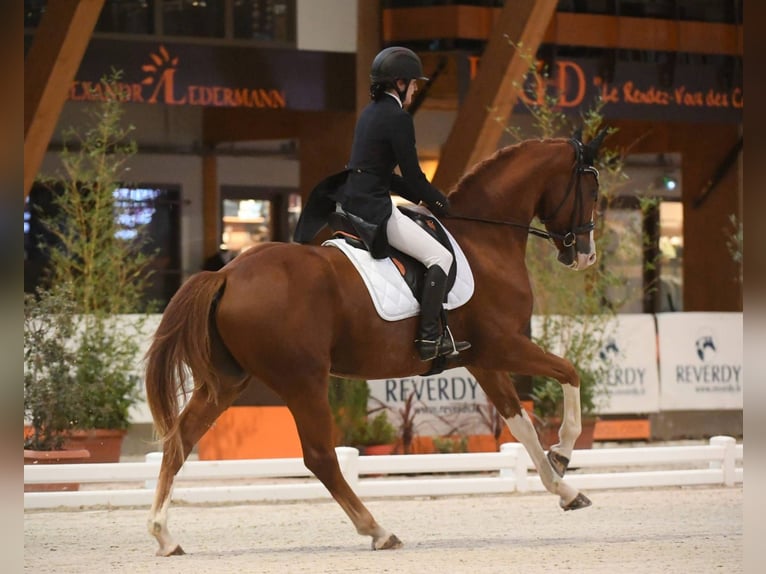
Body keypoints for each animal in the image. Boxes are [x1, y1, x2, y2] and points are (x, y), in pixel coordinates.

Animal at [146, 132, 608, 560]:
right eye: (591, 189)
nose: (585, 255)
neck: (484, 240)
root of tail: (226, 274)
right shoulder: (503, 345)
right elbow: (569, 373)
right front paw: (563, 452)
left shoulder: (481, 359)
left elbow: (521, 424)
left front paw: (563, 488)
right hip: (303, 381)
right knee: (320, 457)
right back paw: (379, 531)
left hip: (229, 381)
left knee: (180, 440)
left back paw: (165, 536)